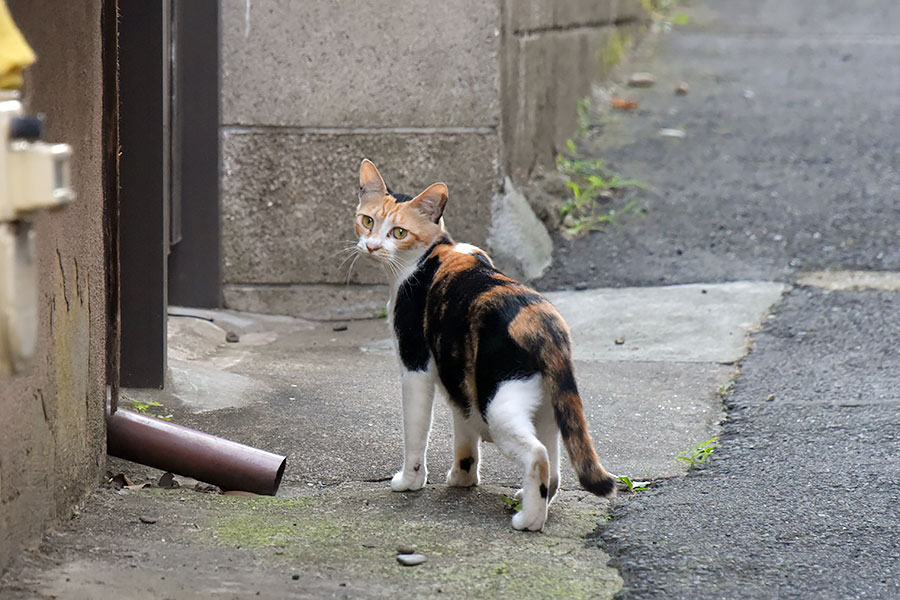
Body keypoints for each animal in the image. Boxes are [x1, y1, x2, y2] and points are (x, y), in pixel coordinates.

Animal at [356, 158, 616, 528]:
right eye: (367, 221)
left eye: (399, 232)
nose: (373, 246)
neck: (431, 252)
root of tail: (541, 321)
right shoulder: (458, 381)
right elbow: (464, 432)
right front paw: (462, 479)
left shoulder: (416, 366)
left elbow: (416, 432)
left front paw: (409, 481)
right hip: (547, 407)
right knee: (553, 463)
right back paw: (533, 502)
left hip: (498, 404)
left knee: (537, 455)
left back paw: (528, 521)